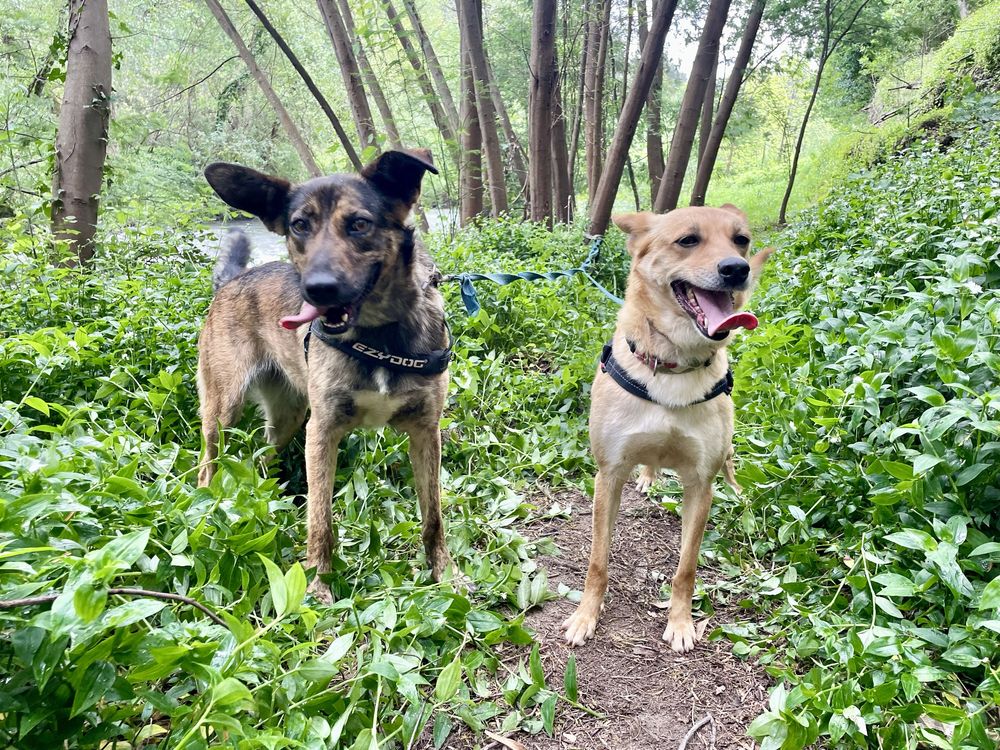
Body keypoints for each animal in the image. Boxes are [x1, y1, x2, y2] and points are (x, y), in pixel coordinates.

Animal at [197, 150, 456, 604]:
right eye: (300, 225)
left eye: (359, 224)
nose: (318, 289)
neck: (379, 334)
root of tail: (231, 281)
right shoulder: (323, 431)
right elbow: (321, 520)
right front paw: (318, 585)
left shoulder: (426, 431)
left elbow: (433, 516)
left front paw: (443, 572)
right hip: (224, 408)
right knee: (207, 461)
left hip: (287, 417)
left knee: (262, 456)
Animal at [564, 206, 772, 652]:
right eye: (688, 240)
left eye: (741, 240)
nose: (737, 269)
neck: (674, 365)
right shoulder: (609, 474)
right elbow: (597, 561)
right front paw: (586, 616)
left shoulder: (699, 483)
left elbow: (686, 568)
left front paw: (680, 622)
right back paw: (648, 477)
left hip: (725, 450)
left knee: (729, 464)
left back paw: (738, 492)